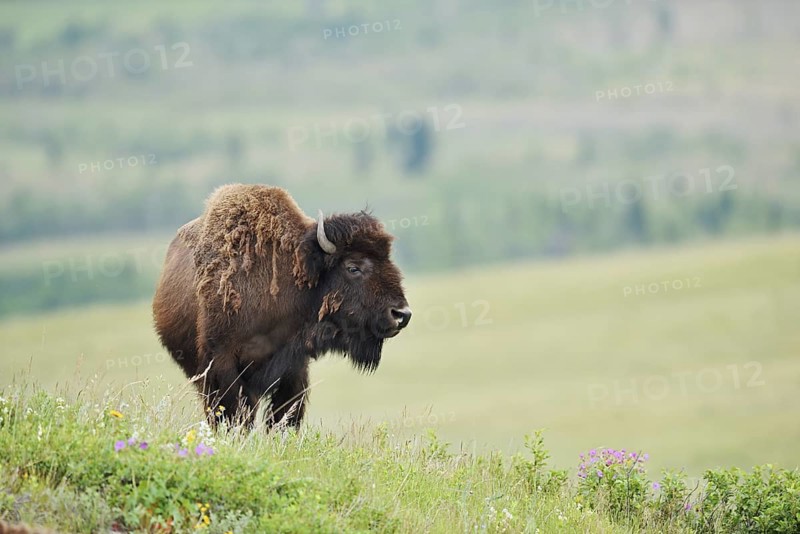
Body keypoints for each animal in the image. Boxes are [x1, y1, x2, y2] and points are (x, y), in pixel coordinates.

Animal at [152, 184, 411, 428]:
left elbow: (285, 417)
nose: (401, 314)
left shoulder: (293, 368)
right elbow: (234, 413)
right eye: (353, 267)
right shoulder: (222, 364)